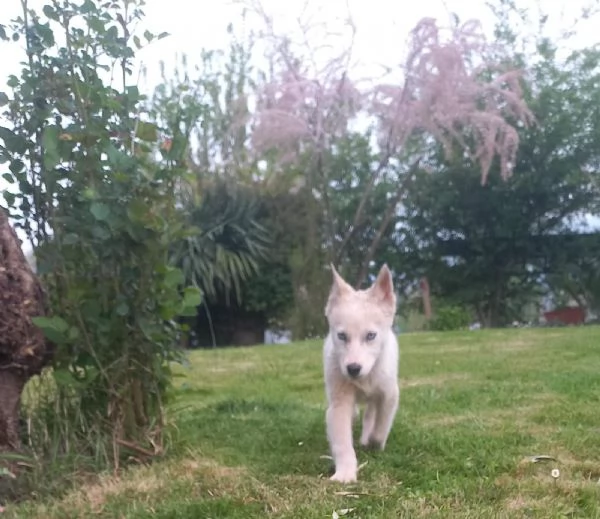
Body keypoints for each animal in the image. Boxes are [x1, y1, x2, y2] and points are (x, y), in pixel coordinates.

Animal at [322, 264, 400, 484]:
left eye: (371, 336)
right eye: (341, 336)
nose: (353, 369)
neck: (366, 377)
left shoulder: (390, 394)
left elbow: (381, 425)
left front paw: (374, 443)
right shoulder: (339, 404)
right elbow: (342, 442)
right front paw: (345, 473)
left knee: (371, 414)